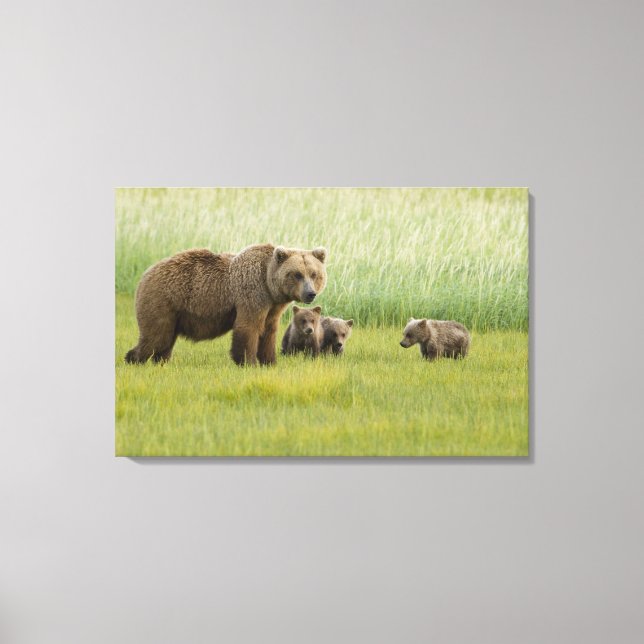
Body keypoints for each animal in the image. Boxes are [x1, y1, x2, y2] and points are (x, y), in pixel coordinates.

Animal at [124, 244, 327, 366]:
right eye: (297, 274)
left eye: (314, 274)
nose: (310, 293)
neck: (269, 286)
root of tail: (146, 273)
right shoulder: (252, 294)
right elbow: (249, 327)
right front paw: (248, 362)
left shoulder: (273, 307)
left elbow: (268, 331)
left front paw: (269, 361)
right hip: (163, 300)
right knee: (156, 336)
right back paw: (133, 359)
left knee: (165, 340)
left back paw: (161, 361)